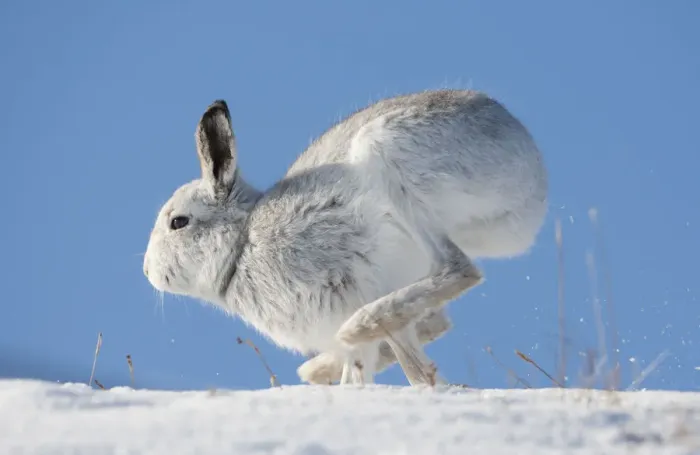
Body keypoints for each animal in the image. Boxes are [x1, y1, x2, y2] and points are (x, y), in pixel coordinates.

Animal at [143, 89, 548, 386]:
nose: (148, 272)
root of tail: (533, 167)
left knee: (459, 268)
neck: (241, 246)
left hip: (386, 154)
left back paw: (359, 326)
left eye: (179, 222)